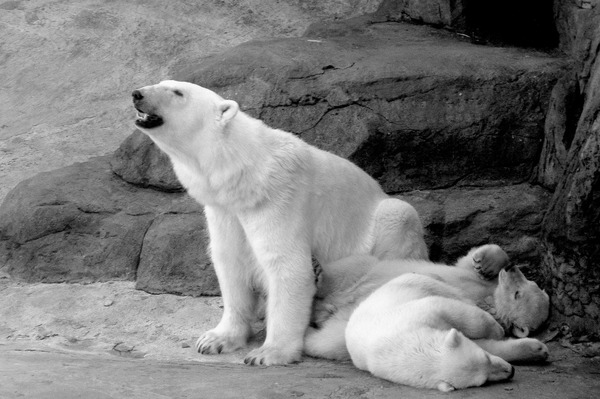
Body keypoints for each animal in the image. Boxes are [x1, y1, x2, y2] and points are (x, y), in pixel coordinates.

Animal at [133, 79, 428, 368]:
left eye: (177, 91)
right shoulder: (225, 211)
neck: (245, 173)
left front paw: (268, 353)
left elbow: (288, 266)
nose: (137, 94)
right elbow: (230, 264)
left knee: (397, 220)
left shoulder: (279, 198)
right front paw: (214, 340)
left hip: (387, 223)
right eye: (159, 82)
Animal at [304, 244, 548, 366]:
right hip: (364, 269)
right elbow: (466, 262)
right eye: (531, 281)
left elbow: (483, 343)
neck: (488, 298)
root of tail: (328, 307)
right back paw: (318, 272)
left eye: (517, 293)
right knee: (350, 267)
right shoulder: (472, 279)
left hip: (349, 320)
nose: (512, 267)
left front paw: (536, 349)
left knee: (330, 340)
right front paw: (486, 263)